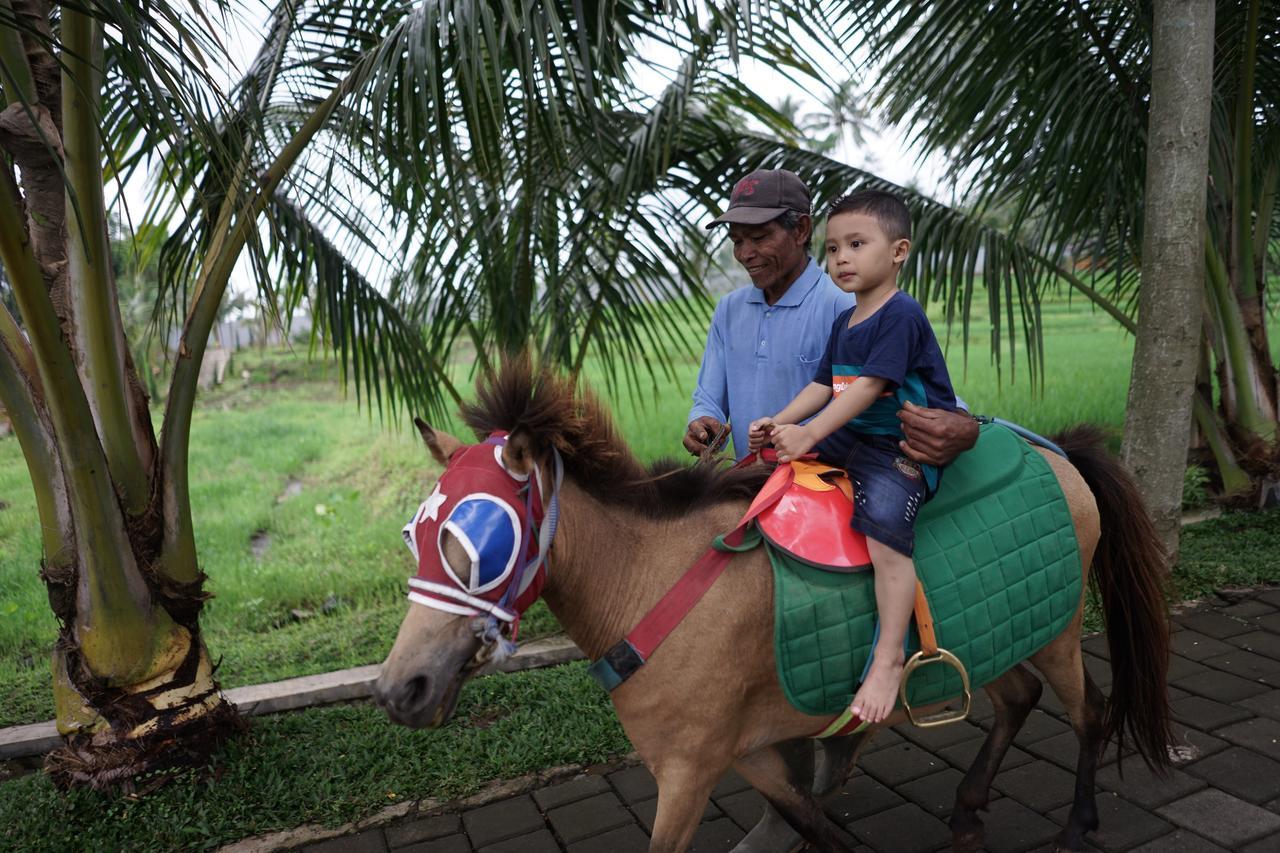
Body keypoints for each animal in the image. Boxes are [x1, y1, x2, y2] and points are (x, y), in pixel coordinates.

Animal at [371, 363, 1172, 850]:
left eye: (477, 537)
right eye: (413, 534)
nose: (400, 688)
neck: (652, 583)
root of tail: (1056, 449)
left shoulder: (687, 770)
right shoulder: (746, 750)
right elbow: (815, 822)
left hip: (1058, 629)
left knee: (1089, 712)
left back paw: (1078, 823)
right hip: (996, 632)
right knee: (1018, 697)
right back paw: (969, 809)